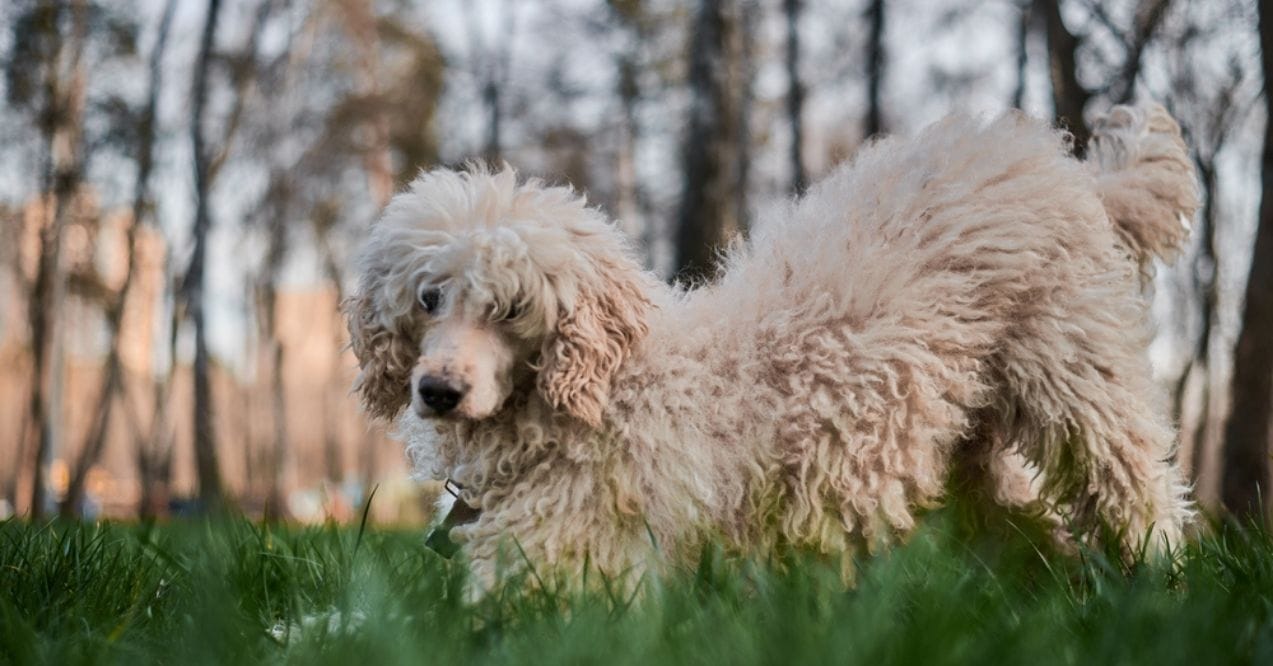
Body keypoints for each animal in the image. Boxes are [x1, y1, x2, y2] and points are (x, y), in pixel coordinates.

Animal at [346, 104, 1191, 593]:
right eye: (428, 298)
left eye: (514, 308)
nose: (438, 392)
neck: (610, 385)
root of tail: (1057, 164)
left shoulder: (569, 558)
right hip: (967, 444)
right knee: (1026, 522)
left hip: (1073, 375)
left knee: (1130, 482)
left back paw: (1156, 576)